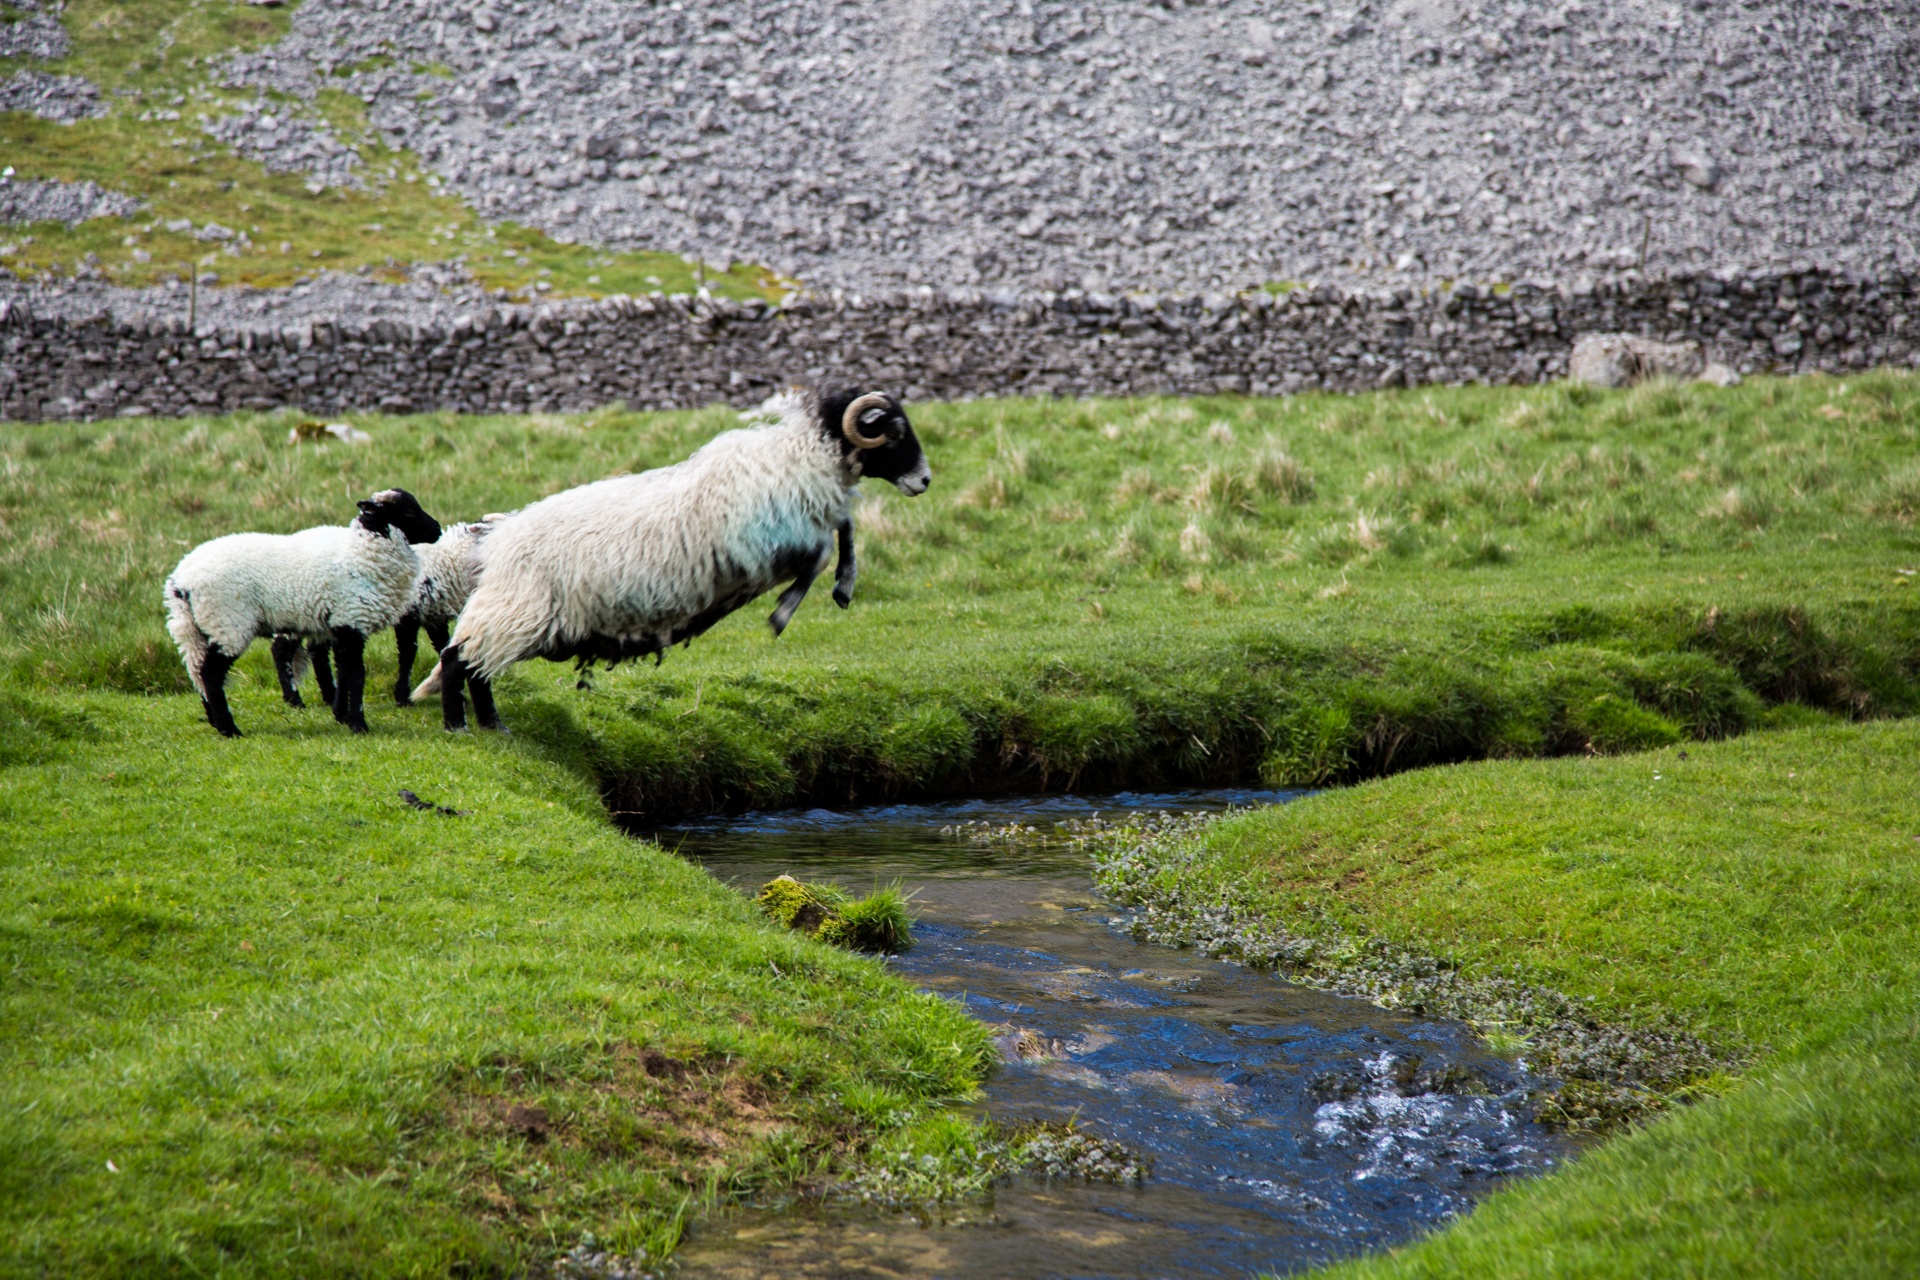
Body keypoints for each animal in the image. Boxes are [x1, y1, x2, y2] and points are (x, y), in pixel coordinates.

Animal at [164, 487, 441, 736]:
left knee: (198, 672)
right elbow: (356, 675)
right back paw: (229, 729)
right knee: (210, 674)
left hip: (194, 630)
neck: (361, 553)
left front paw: (341, 715)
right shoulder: (351, 621)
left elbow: (342, 672)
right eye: (409, 511)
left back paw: (214, 719)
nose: (437, 530)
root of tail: (180, 582)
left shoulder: (340, 624)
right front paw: (358, 724)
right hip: (228, 622)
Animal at [426, 385, 929, 729]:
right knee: (458, 658)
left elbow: (844, 527)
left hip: (515, 615)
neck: (799, 458)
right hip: (517, 610)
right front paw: (784, 612)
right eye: (893, 432)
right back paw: (460, 727)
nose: (924, 481)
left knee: (473, 666)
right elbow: (823, 551)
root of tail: (495, 542)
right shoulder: (768, 543)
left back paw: (492, 726)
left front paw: (845, 585)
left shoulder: (808, 518)